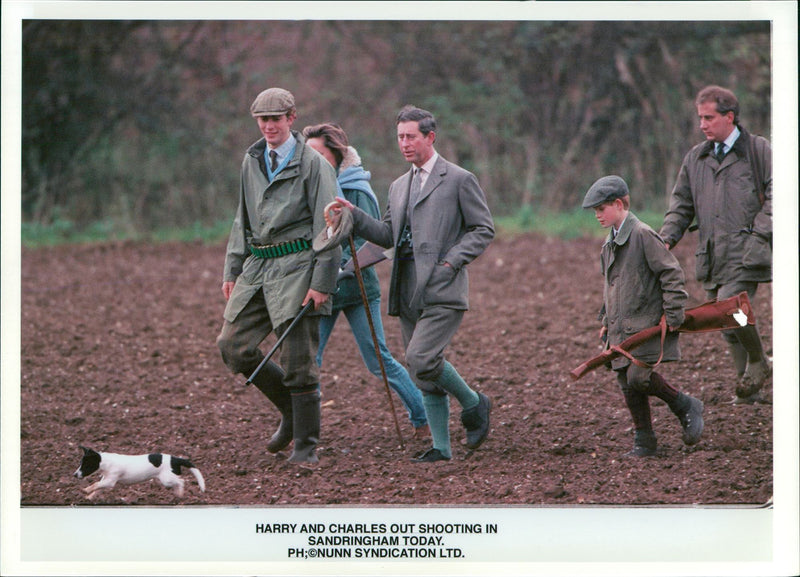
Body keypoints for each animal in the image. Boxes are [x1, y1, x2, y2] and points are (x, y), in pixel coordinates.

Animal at [74, 446, 206, 500]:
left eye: (86, 465)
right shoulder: (106, 481)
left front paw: (85, 490)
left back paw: (180, 495)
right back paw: (177, 495)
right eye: (80, 463)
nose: (74, 475)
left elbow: (95, 485)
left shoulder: (110, 481)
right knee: (178, 483)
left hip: (166, 479)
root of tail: (175, 459)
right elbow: (98, 489)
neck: (105, 462)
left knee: (181, 481)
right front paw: (89, 497)